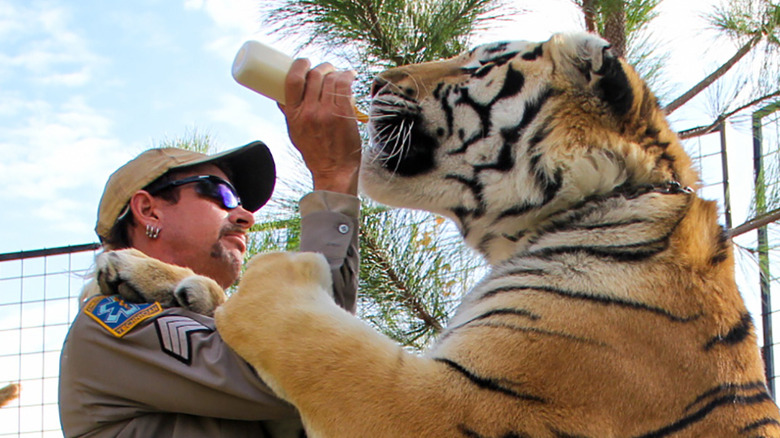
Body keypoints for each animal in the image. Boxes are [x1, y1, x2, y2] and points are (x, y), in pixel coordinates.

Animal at [99, 32, 780, 436]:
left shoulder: (453, 407)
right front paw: (144, 272)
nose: (373, 83)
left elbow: (311, 337)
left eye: (476, 64)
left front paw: (277, 269)